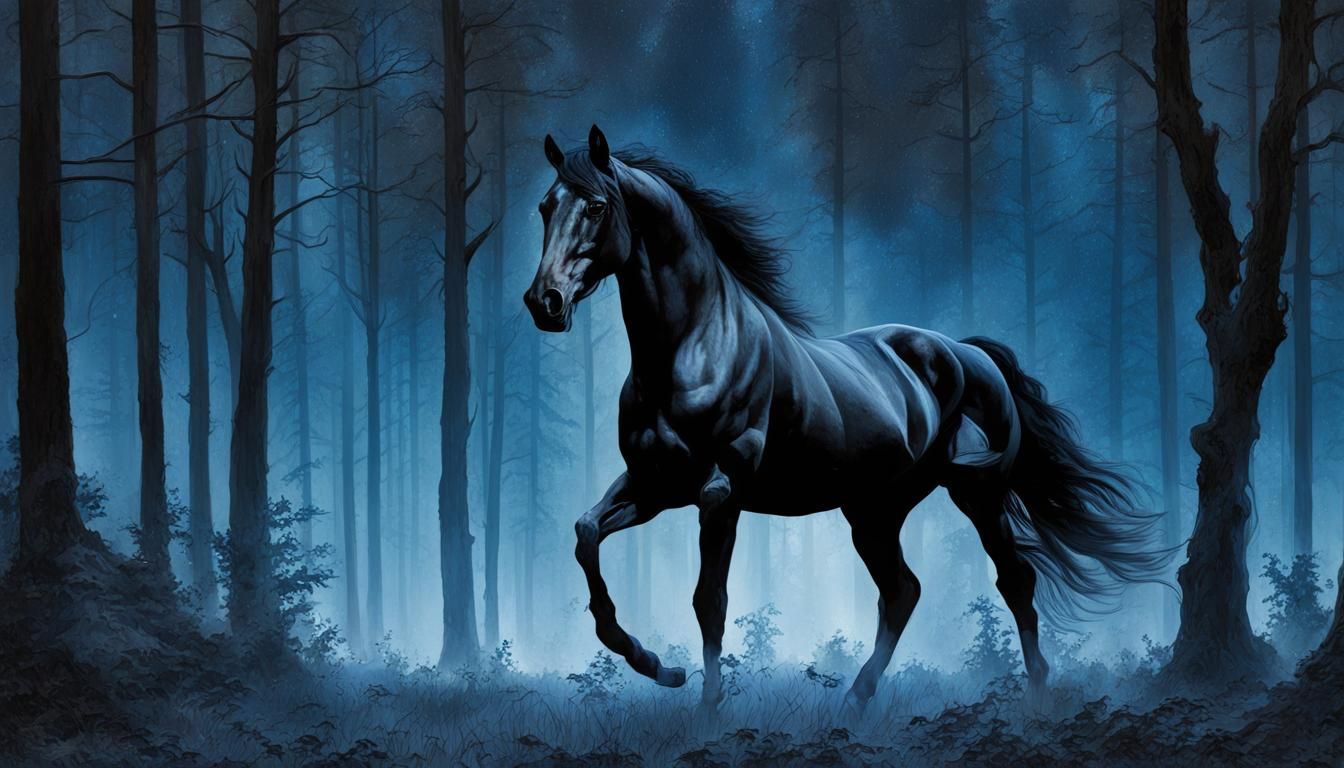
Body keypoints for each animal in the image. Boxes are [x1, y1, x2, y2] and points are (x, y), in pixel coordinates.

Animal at [523, 125, 1163, 712]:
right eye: (545, 206)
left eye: (597, 206)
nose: (544, 302)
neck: (693, 348)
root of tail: (968, 353)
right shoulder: (654, 486)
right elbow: (586, 536)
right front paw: (658, 667)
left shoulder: (719, 493)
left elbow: (710, 599)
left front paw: (706, 707)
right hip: (874, 510)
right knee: (903, 591)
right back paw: (857, 698)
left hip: (976, 495)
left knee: (1013, 580)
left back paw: (1035, 693)